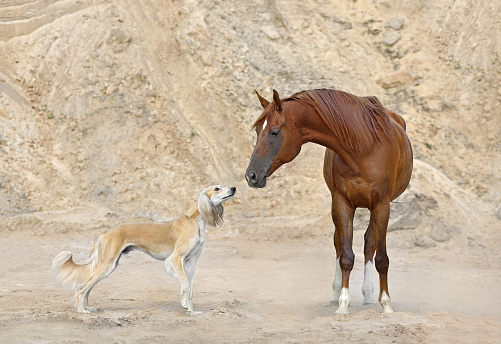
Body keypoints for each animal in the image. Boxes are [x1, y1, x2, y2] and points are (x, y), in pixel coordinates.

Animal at [51, 185, 235, 314]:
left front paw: (191, 310)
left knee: (88, 287)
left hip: (109, 265)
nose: (233, 188)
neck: (194, 220)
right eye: (216, 188)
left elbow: (190, 288)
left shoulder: (190, 262)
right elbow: (186, 286)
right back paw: (82, 311)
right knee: (82, 287)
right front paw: (186, 306)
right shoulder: (175, 259)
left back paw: (87, 308)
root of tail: (105, 233)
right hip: (107, 265)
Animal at [244, 89, 412, 314]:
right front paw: (342, 303)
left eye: (274, 132)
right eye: (257, 131)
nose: (251, 176)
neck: (364, 148)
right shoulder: (342, 203)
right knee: (339, 243)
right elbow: (346, 255)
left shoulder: (382, 205)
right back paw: (337, 294)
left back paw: (369, 295)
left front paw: (386, 304)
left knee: (369, 243)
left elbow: (381, 258)